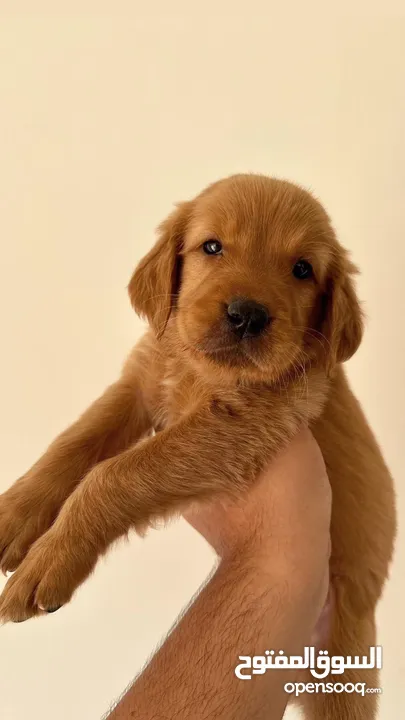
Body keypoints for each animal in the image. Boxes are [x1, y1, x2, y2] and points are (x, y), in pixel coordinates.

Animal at [0, 174, 394, 720]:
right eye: (212, 246)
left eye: (302, 269)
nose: (247, 315)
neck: (199, 369)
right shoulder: (139, 385)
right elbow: (73, 444)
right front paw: (14, 517)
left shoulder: (243, 424)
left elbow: (112, 474)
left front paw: (48, 560)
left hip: (345, 661)